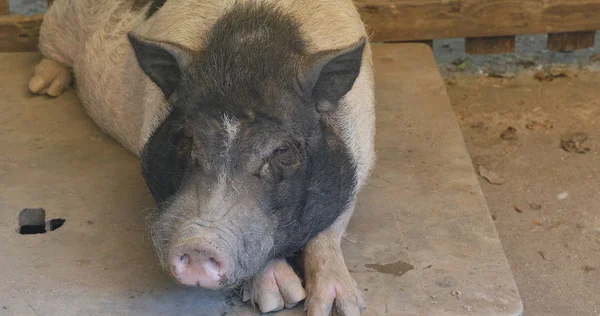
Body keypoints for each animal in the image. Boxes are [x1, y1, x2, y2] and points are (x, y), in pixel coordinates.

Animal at [29, 0, 376, 314]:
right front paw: (279, 299)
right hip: (58, 22)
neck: (253, 43)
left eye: (283, 150)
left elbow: (328, 231)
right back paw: (43, 89)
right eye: (187, 138)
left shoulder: (359, 160)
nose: (199, 245)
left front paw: (337, 308)